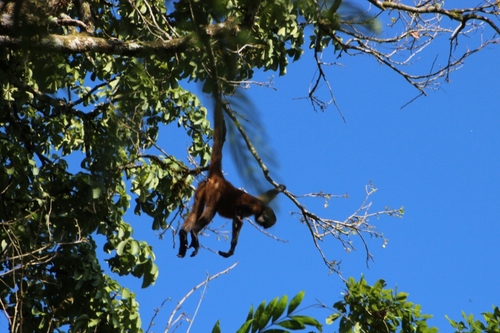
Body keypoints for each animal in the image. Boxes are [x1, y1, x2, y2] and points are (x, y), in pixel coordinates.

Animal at [177, 96, 286, 256]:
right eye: (266, 223)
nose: (263, 225)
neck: (261, 209)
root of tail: (220, 178)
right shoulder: (255, 206)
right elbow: (238, 212)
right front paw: (232, 248)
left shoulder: (262, 201)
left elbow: (267, 194)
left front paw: (280, 188)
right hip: (215, 190)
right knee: (210, 210)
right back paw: (195, 232)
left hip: (202, 188)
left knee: (196, 210)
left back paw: (183, 234)